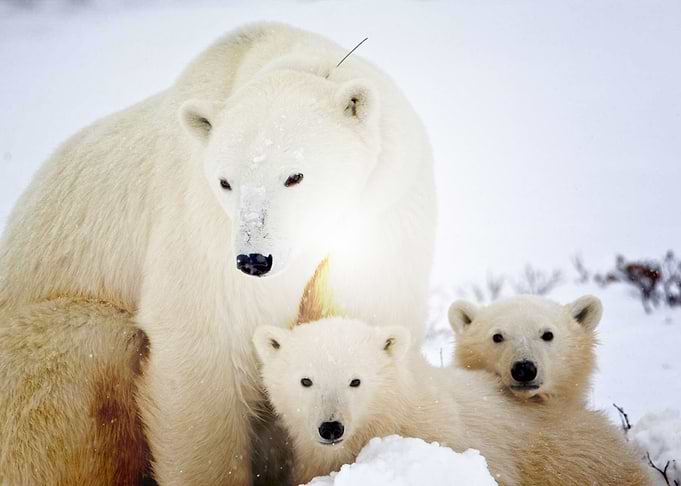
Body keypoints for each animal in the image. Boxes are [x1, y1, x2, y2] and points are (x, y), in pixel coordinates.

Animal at [0, 22, 437, 485]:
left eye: (295, 176)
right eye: (226, 181)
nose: (254, 260)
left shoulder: (383, 215)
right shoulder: (202, 221)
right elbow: (206, 342)